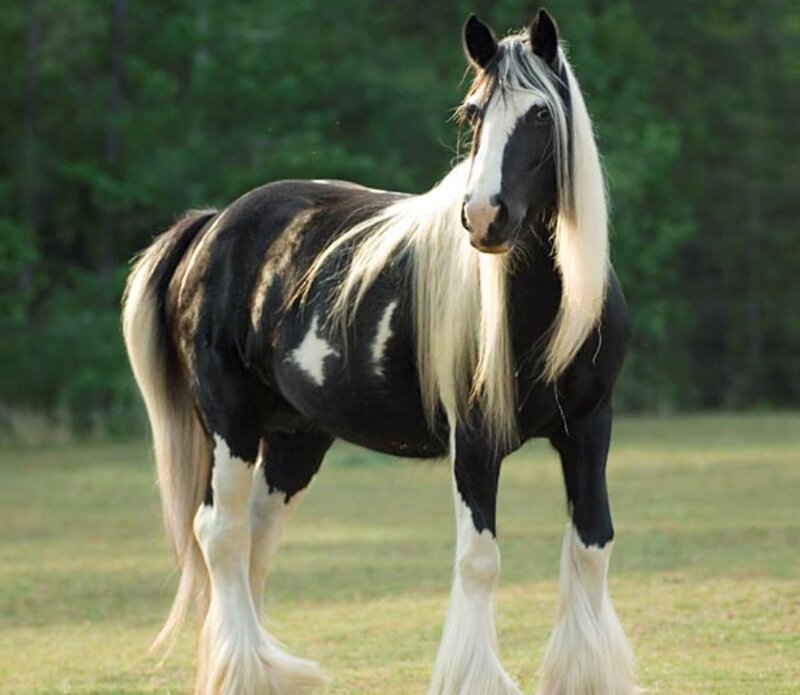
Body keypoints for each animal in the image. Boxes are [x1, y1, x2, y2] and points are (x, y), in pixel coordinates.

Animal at [122, 9, 639, 695]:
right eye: (473, 113)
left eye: (539, 114)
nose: (484, 218)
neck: (545, 306)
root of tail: (213, 225)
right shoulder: (475, 441)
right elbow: (480, 560)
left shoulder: (589, 428)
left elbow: (591, 546)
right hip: (231, 421)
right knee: (222, 534)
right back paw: (247, 670)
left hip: (294, 438)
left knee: (257, 536)